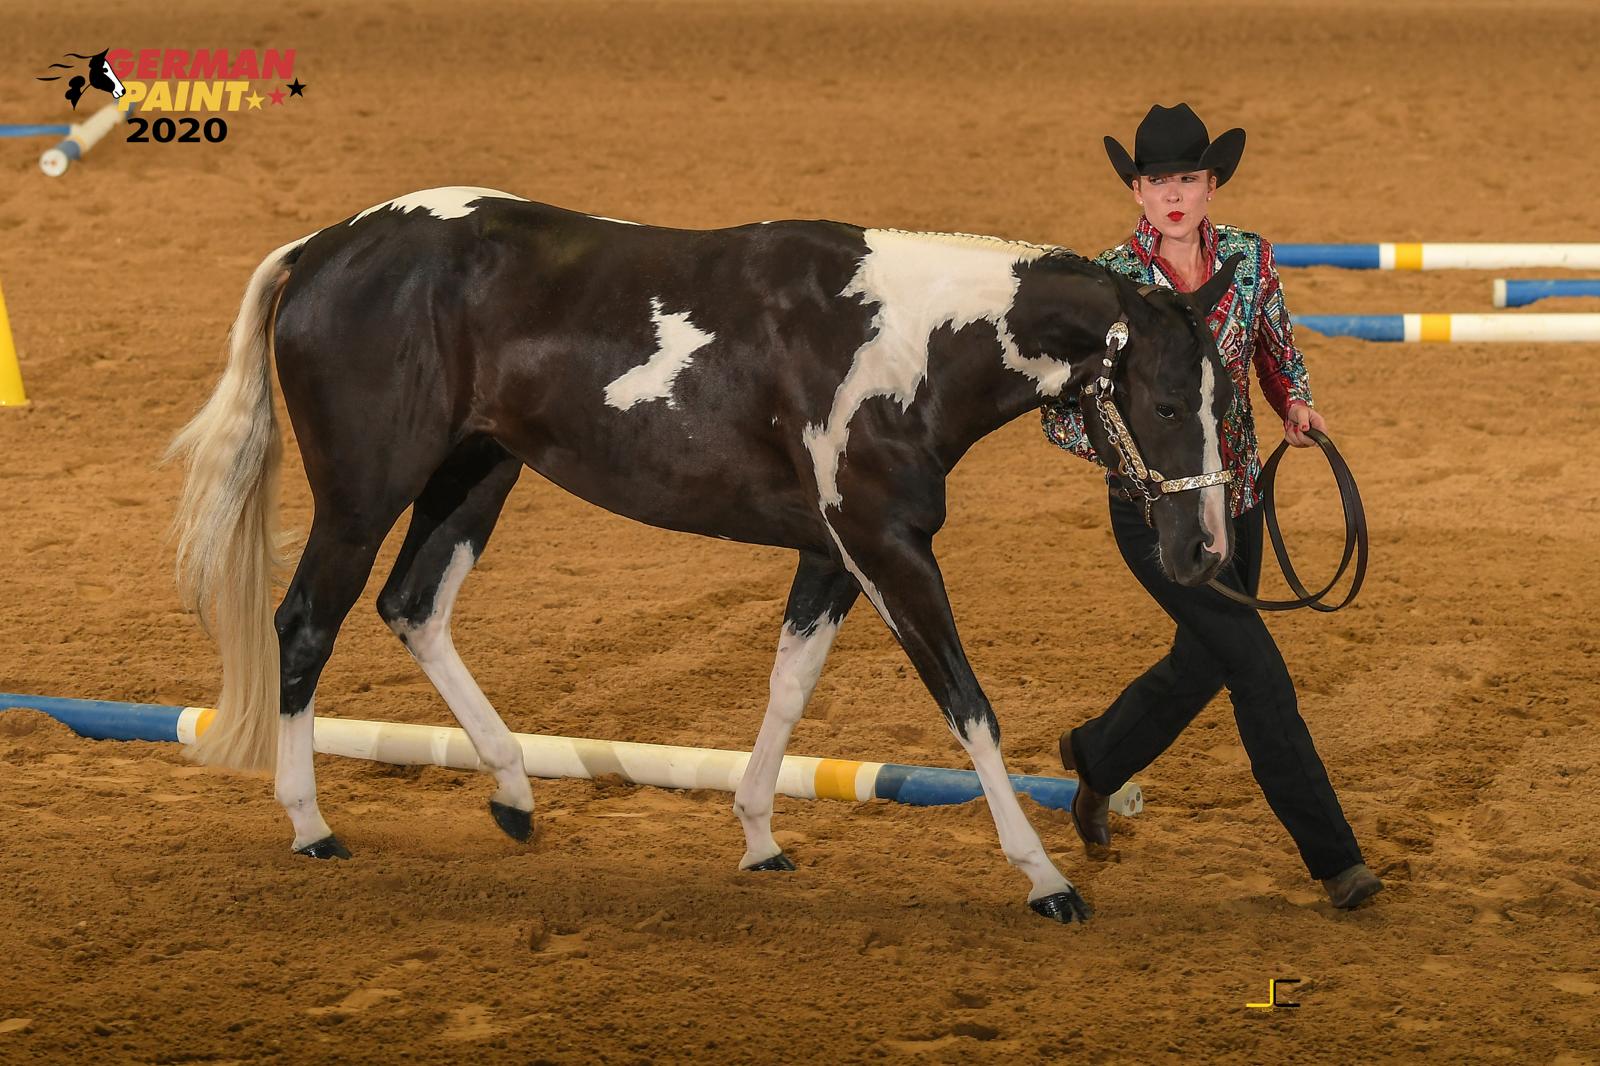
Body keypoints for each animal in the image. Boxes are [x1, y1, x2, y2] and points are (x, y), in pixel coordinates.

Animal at [175, 186, 1241, 915]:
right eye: (1166, 404)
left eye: (1226, 397)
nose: (1203, 553)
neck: (905, 343)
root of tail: (324, 246)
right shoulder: (887, 550)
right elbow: (969, 709)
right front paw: (1046, 878)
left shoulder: (835, 557)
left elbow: (788, 687)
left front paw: (760, 837)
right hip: (363, 496)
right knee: (305, 626)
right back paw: (311, 826)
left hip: (476, 473)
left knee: (414, 606)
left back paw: (515, 795)